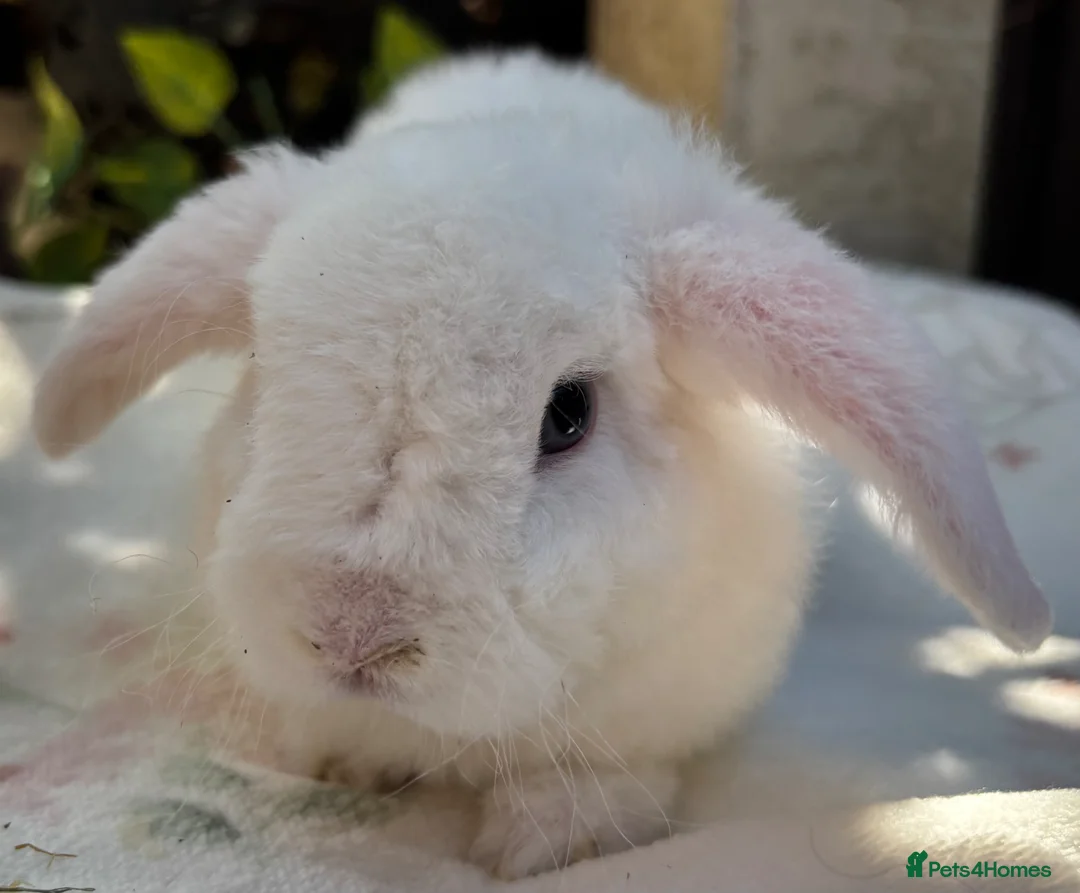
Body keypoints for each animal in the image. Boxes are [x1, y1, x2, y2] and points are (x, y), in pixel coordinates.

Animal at [30, 51, 1052, 880]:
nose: (351, 636)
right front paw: (347, 760)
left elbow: (613, 773)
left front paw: (554, 840)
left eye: (568, 417)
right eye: (265, 375)